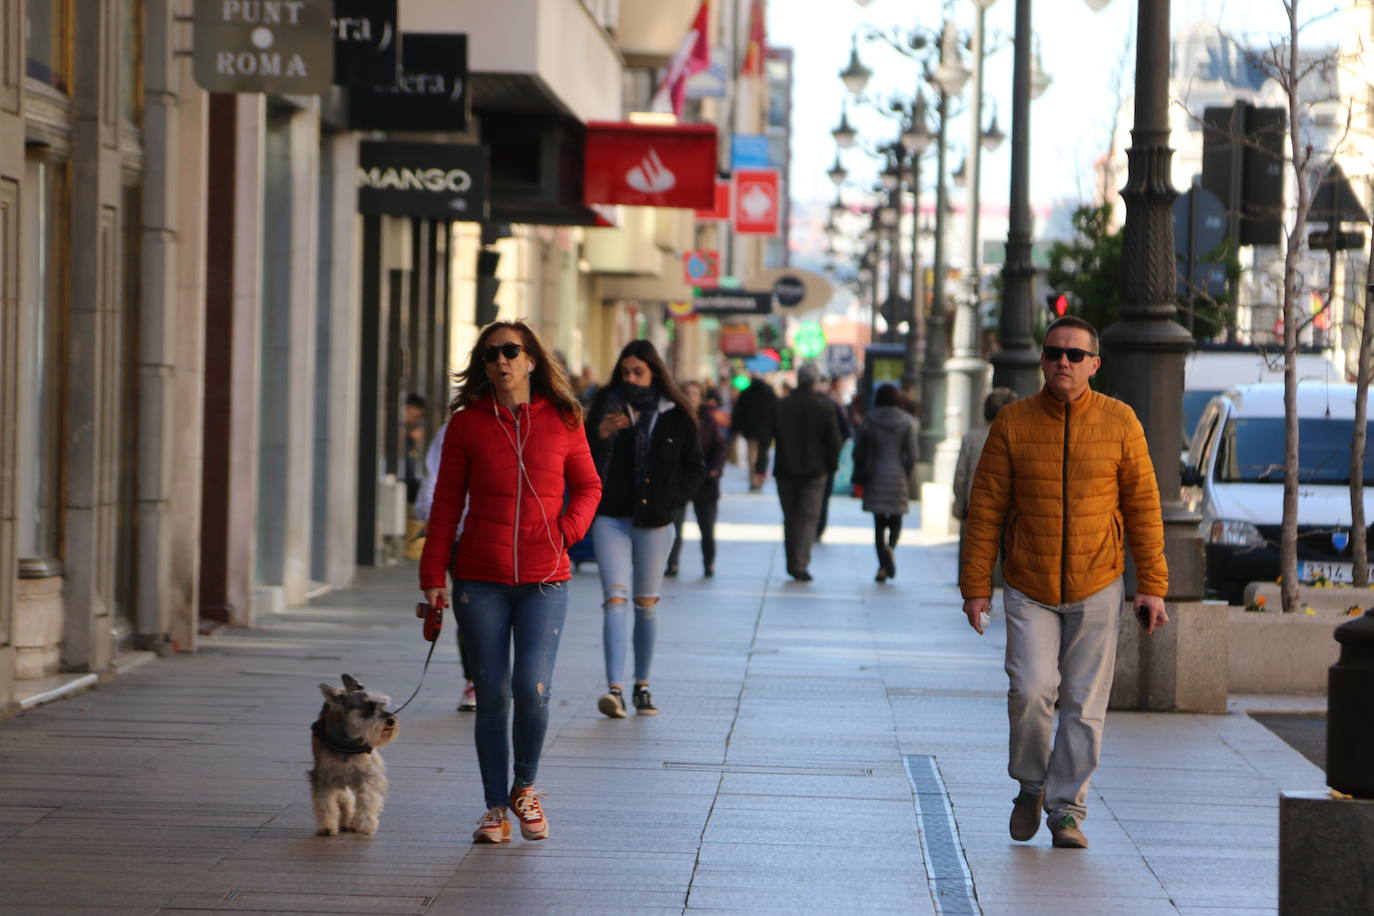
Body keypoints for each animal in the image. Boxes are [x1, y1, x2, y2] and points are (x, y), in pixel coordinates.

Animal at [310, 670, 398, 834]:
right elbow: (325, 803)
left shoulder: (367, 775)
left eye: (382, 704)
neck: (348, 741)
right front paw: (327, 826)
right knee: (346, 797)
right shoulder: (325, 777)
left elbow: (368, 798)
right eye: (369, 706)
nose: (391, 720)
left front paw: (365, 823)